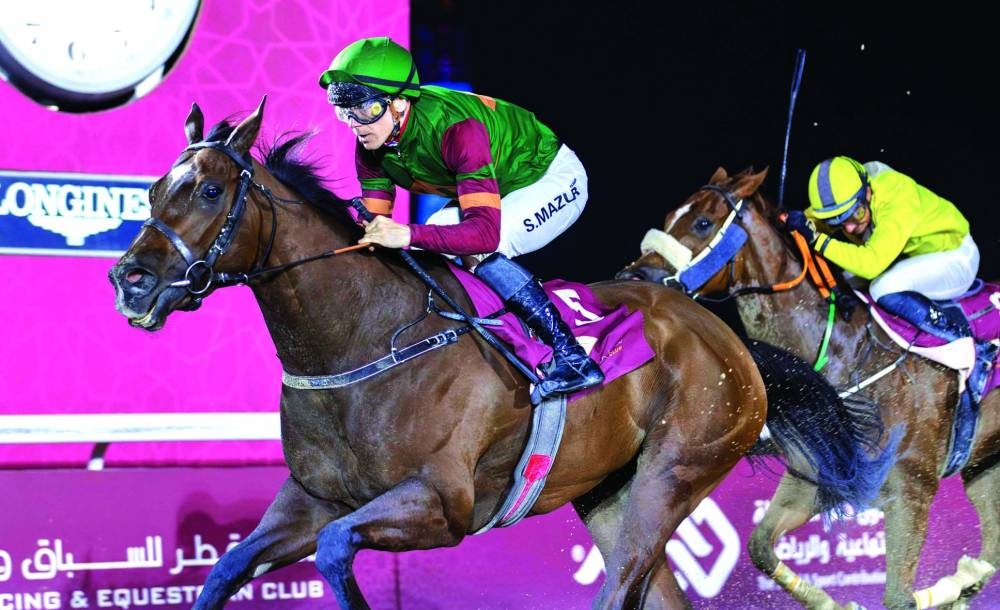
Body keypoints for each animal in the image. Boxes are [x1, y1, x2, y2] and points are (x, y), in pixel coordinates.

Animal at [109, 98, 893, 609]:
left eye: (209, 190)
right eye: (152, 190)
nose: (131, 280)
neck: (359, 341)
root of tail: (727, 339)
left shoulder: (442, 503)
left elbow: (335, 550)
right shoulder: (311, 499)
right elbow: (224, 570)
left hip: (674, 475)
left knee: (624, 585)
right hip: (607, 492)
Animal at [617, 165, 1000, 610]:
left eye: (703, 222)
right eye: (667, 218)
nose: (632, 276)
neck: (849, 355)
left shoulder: (912, 489)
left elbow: (899, 599)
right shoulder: (813, 478)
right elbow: (760, 548)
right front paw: (835, 602)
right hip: (984, 467)